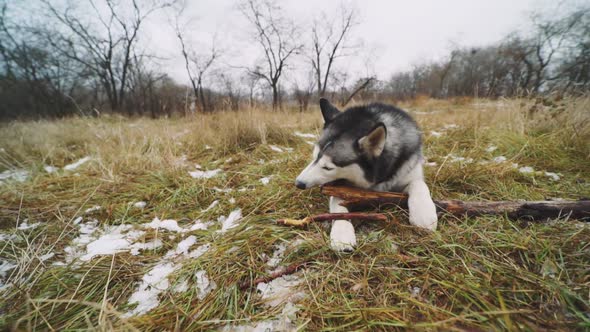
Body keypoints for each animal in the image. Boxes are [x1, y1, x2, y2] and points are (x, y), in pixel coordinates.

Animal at [296, 98, 440, 252]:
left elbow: (419, 184)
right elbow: (337, 205)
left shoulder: (409, 171)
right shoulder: (339, 188)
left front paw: (423, 213)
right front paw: (342, 233)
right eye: (314, 158)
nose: (299, 183)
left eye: (328, 168)